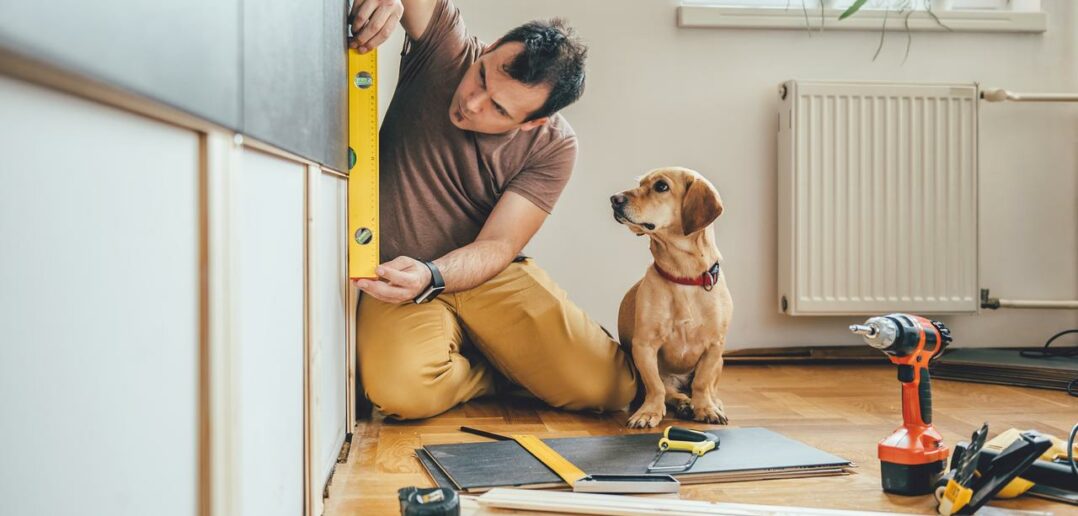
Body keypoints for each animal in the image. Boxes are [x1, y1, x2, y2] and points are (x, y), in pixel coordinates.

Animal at [616, 168, 733, 430]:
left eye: (661, 186)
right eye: (640, 183)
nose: (614, 199)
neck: (684, 277)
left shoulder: (714, 347)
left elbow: (702, 382)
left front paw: (706, 408)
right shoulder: (645, 346)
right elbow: (656, 387)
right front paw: (648, 412)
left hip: (720, 362)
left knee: (709, 388)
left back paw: (710, 403)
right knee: (671, 392)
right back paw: (683, 403)